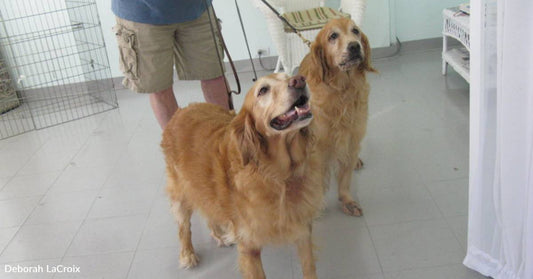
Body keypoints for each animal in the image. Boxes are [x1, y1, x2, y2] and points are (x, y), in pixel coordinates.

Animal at [160, 73, 322, 278]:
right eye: (263, 90)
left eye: (288, 76)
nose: (299, 80)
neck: (281, 175)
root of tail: (180, 111)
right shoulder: (249, 248)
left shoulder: (303, 231)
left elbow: (309, 269)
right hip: (181, 193)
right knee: (184, 228)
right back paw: (187, 254)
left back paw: (219, 235)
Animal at [298, 18, 376, 218]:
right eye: (333, 36)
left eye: (355, 31)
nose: (355, 46)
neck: (342, 90)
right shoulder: (317, 148)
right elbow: (316, 180)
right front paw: (317, 204)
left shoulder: (351, 138)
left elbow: (345, 177)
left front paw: (347, 200)